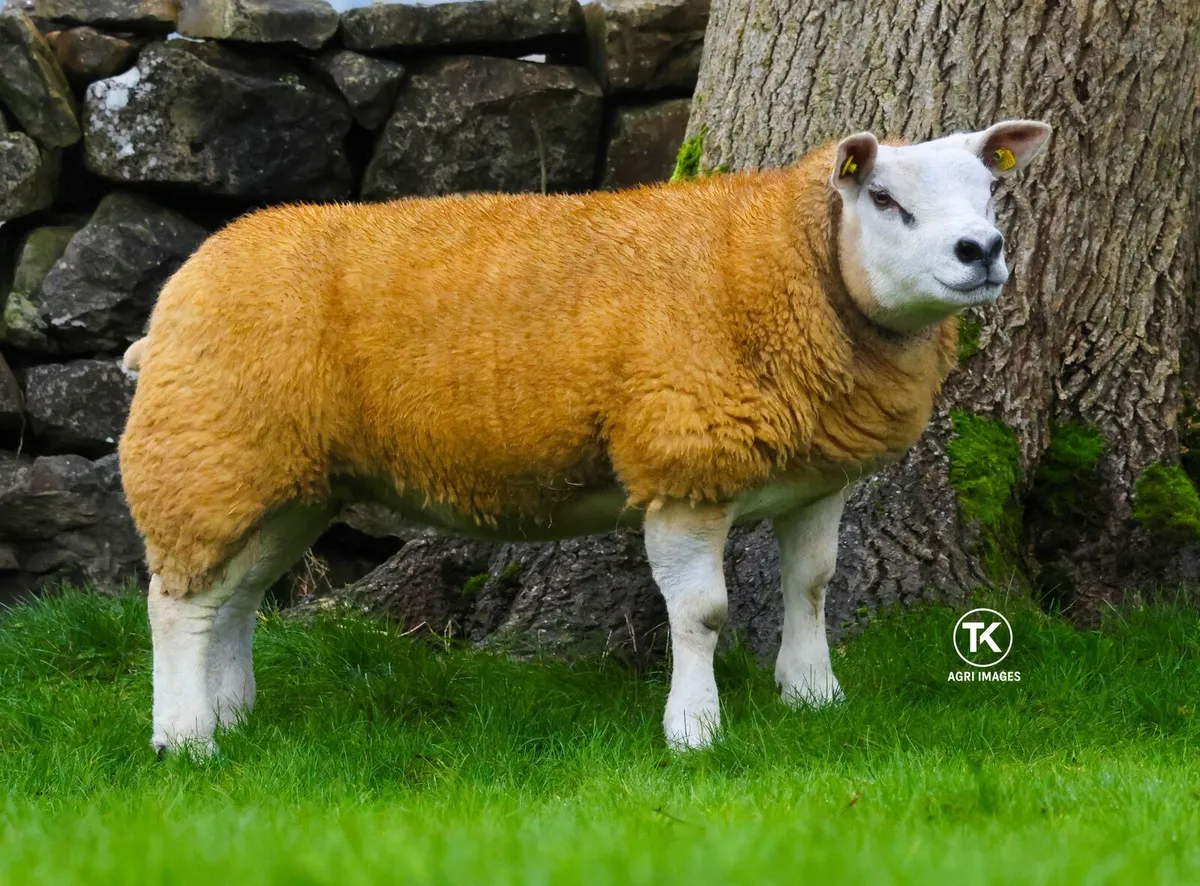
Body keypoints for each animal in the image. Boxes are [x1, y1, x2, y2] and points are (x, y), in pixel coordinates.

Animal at [118, 119, 1051, 755]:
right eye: (884, 200)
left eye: (989, 191)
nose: (982, 250)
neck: (788, 269)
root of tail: (183, 284)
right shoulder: (681, 463)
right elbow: (703, 612)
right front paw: (694, 730)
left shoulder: (820, 477)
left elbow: (814, 585)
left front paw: (813, 696)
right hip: (205, 450)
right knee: (175, 603)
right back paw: (183, 738)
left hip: (285, 478)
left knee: (234, 597)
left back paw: (232, 715)